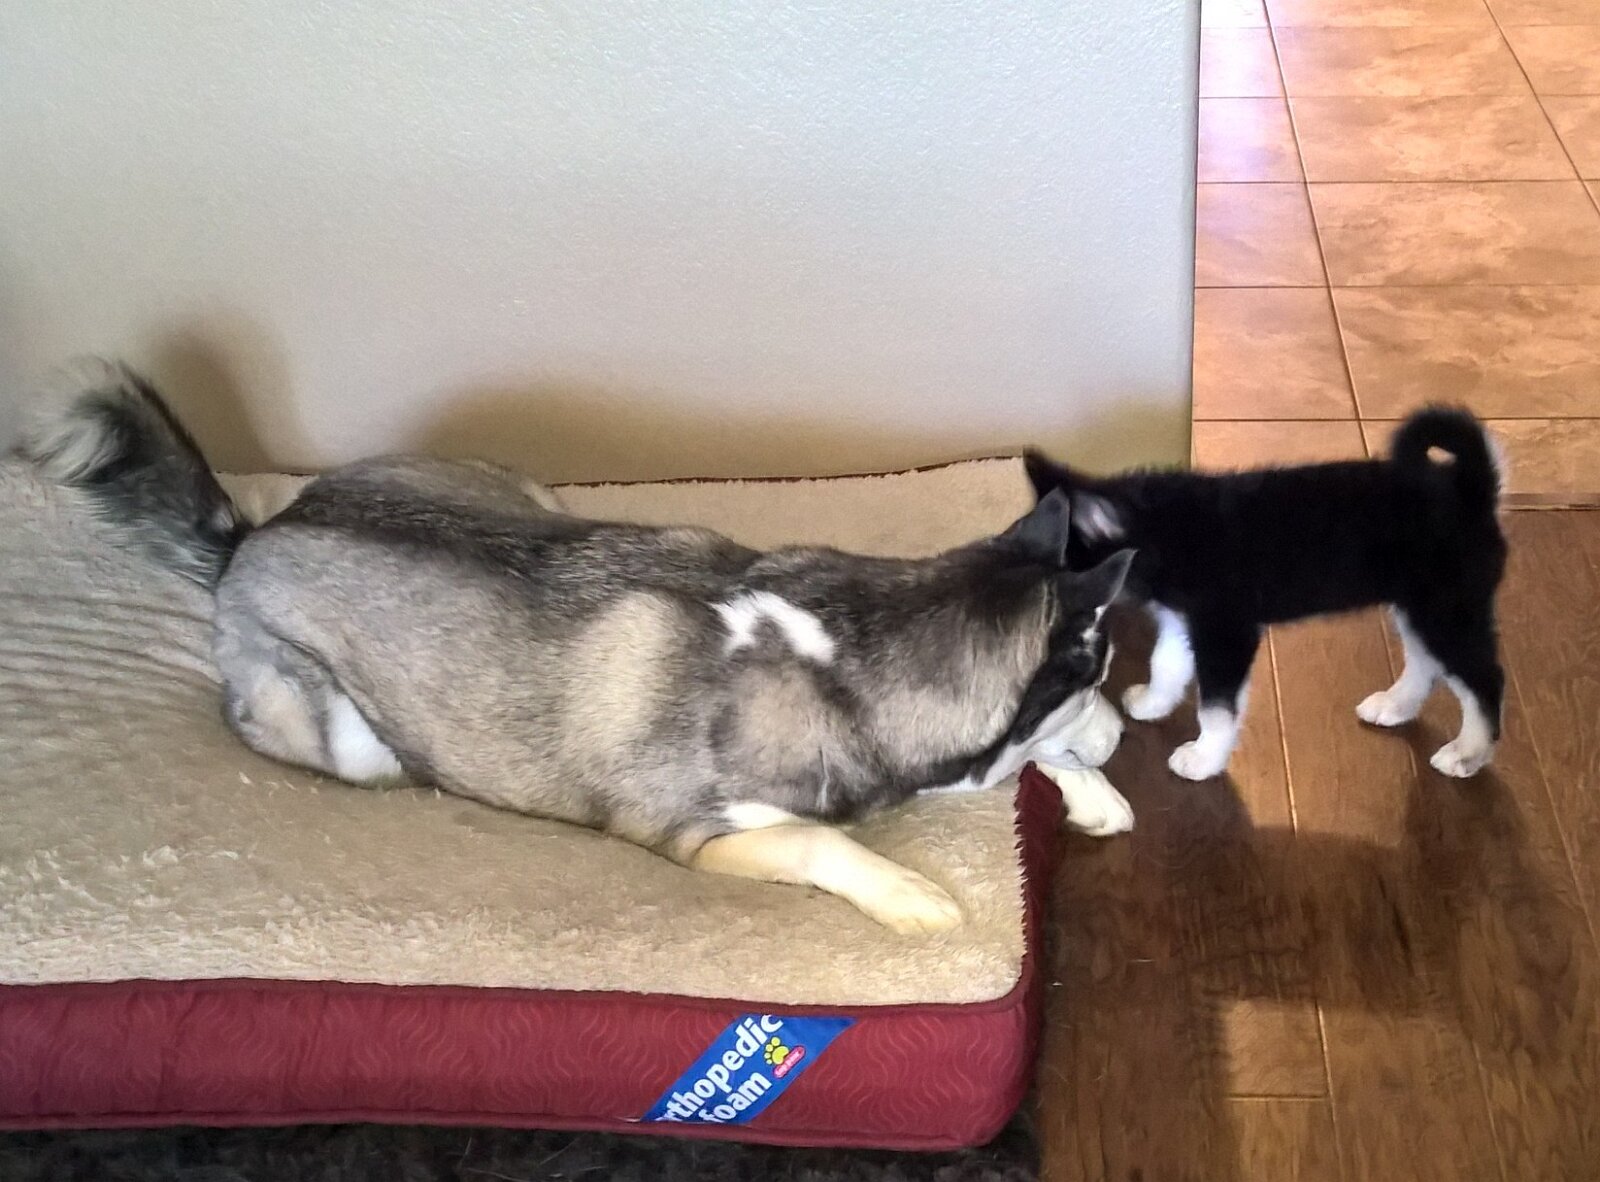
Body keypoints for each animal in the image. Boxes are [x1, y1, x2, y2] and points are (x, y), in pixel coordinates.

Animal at [21, 360, 1135, 934]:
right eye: (1102, 674)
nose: (1127, 735)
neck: (849, 649)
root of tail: (256, 532)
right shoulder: (695, 835)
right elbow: (822, 840)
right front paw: (914, 897)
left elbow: (1023, 762)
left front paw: (1090, 792)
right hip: (347, 738)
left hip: (526, 493)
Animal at [1022, 407, 1507, 782]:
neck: (1168, 530)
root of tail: (1473, 490)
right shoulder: (1185, 621)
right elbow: (1165, 664)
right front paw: (1153, 702)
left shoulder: (1226, 631)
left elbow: (1216, 707)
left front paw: (1204, 758)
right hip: (1419, 607)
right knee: (1426, 663)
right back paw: (1395, 705)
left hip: (1446, 611)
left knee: (1484, 681)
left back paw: (1468, 753)